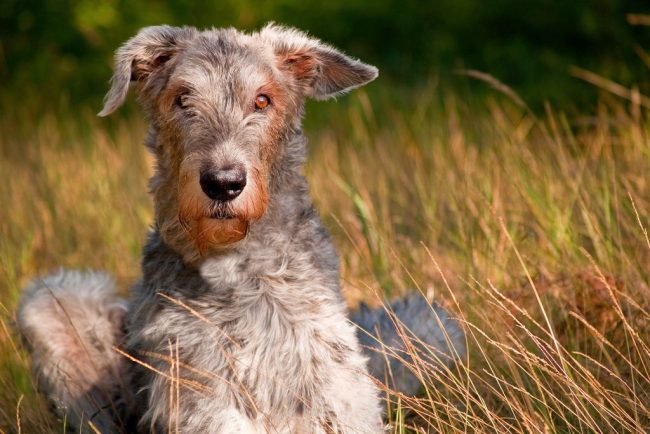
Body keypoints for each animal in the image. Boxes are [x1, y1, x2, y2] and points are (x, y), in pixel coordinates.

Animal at [15, 24, 464, 434]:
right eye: (182, 98)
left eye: (263, 100)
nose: (223, 183)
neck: (238, 264)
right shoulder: (194, 382)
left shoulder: (337, 383)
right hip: (52, 306)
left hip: (427, 329)